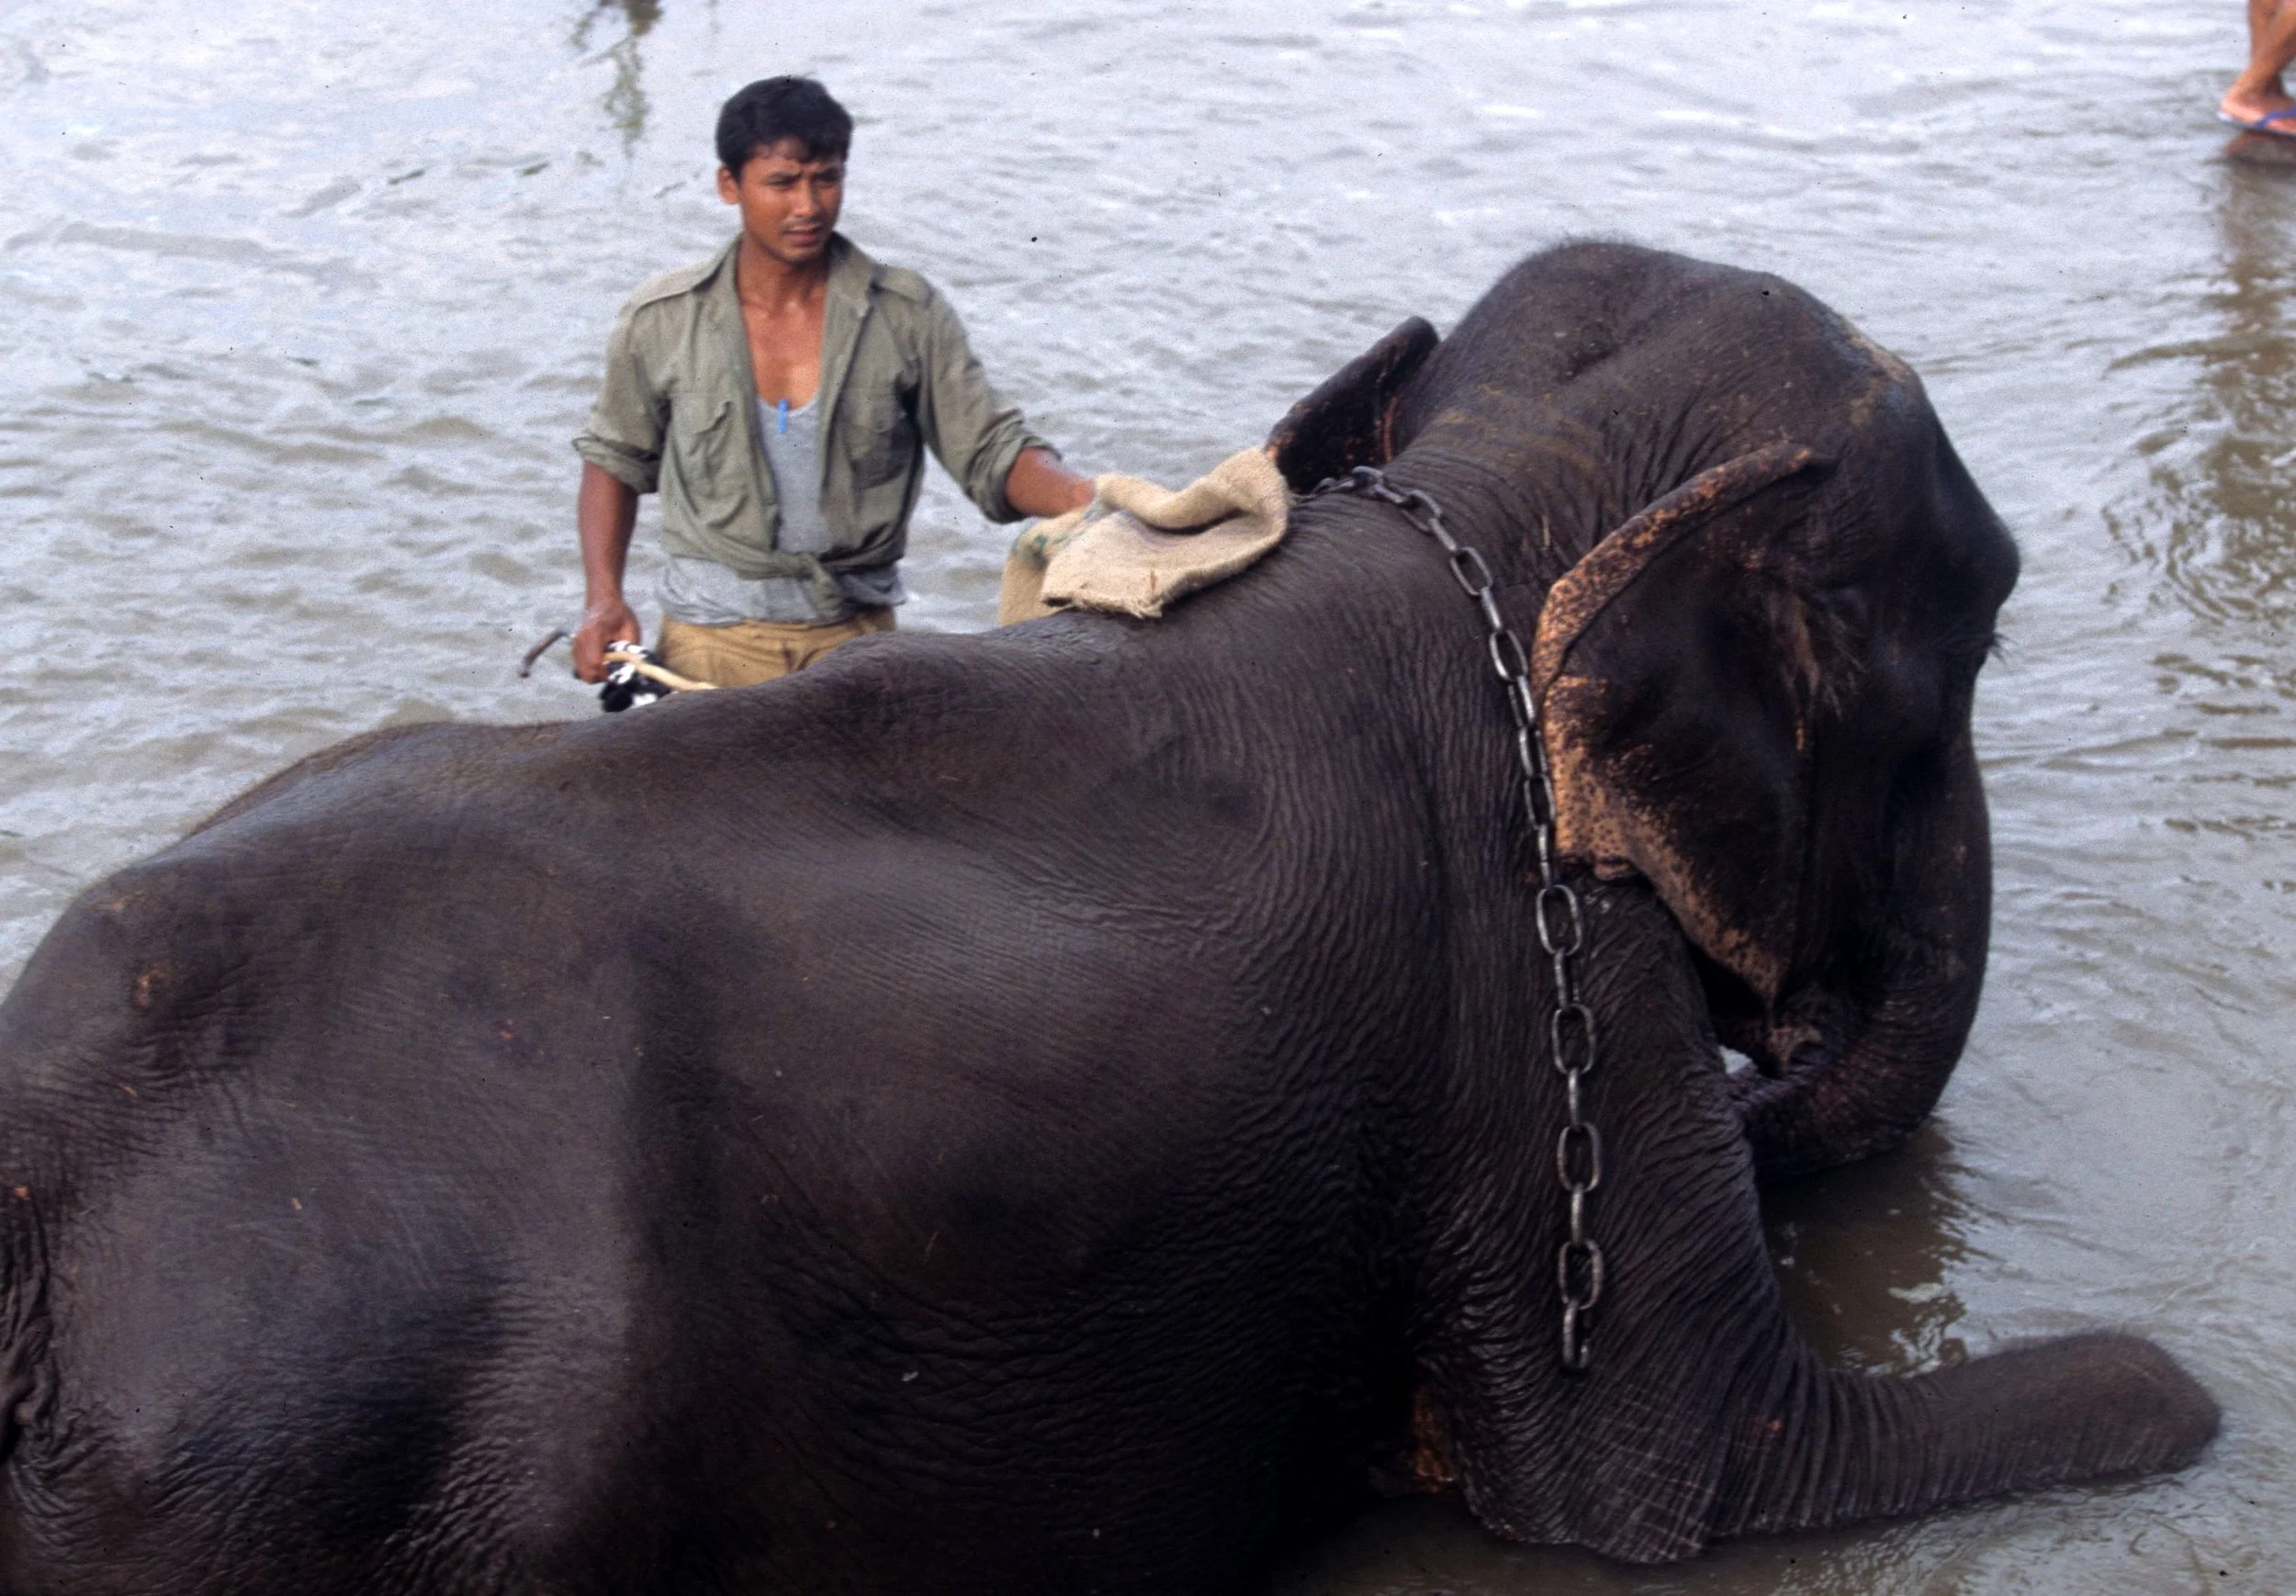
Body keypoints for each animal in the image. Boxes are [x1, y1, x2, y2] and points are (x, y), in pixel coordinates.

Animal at [0, 242, 2214, 1594]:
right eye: (1970, 650)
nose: (1778, 1025)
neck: (1511, 483)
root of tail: (36, 1167)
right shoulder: (1546, 986)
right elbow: (1693, 1489)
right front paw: (2181, 1389)